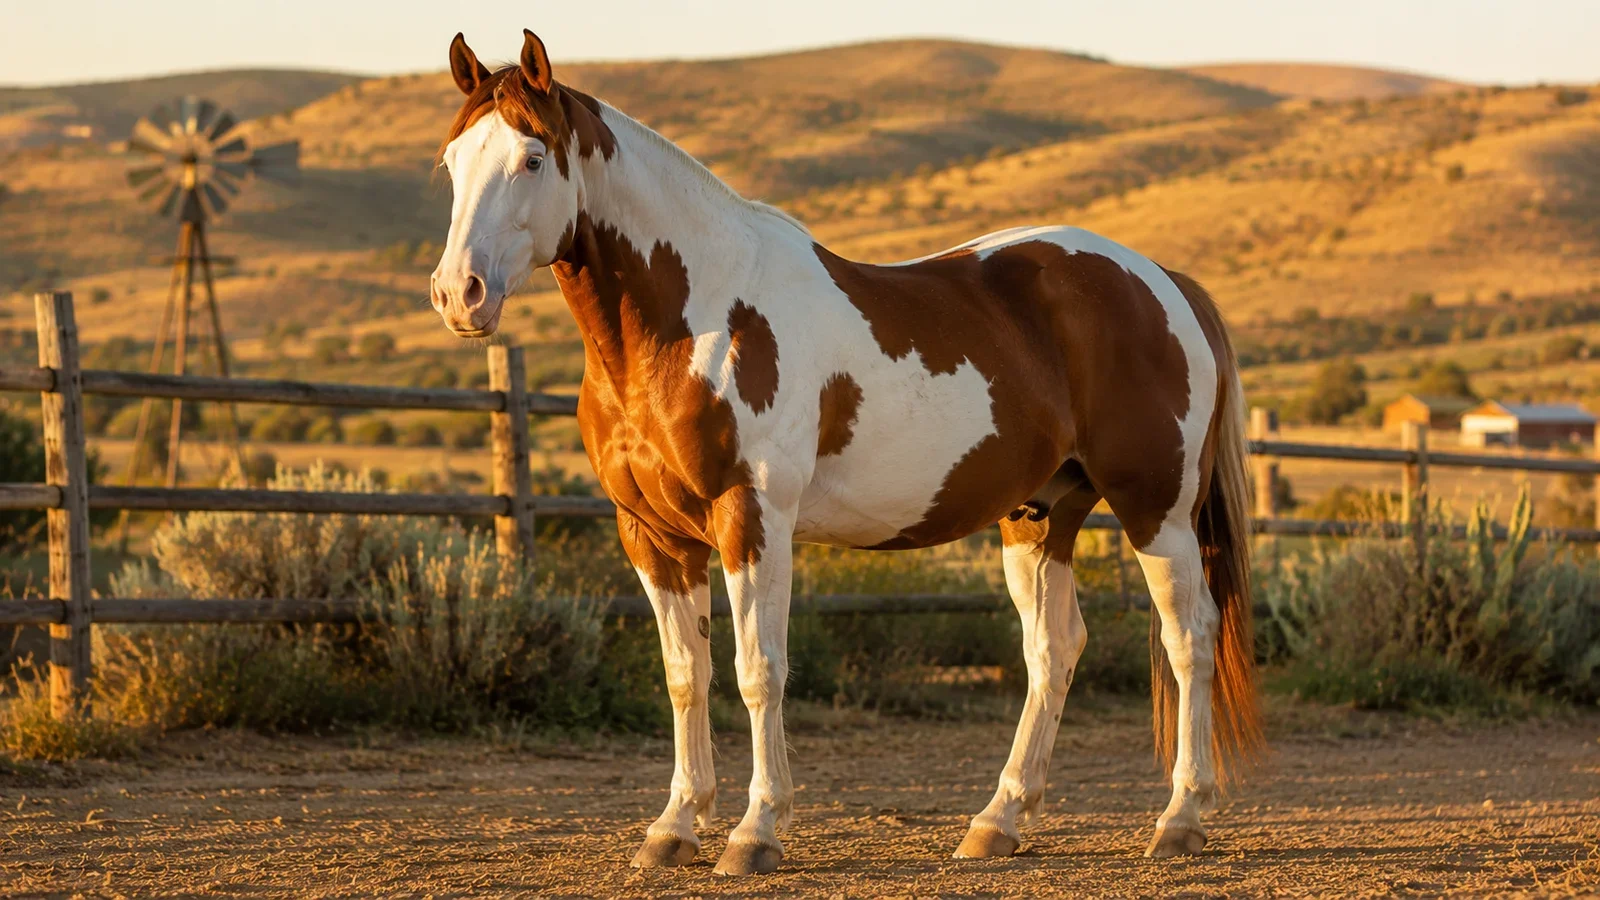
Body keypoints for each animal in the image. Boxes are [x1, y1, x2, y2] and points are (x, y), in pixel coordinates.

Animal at [429, 29, 1264, 875]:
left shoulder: (752, 517)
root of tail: (1164, 282)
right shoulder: (652, 534)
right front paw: (673, 828)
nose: (459, 294)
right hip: (1039, 514)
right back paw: (997, 821)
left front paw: (754, 832)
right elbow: (685, 676)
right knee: (1053, 650)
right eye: (453, 160)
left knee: (1189, 638)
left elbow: (758, 672)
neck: (690, 321)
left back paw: (1179, 819)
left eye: (533, 158)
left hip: (1155, 509)